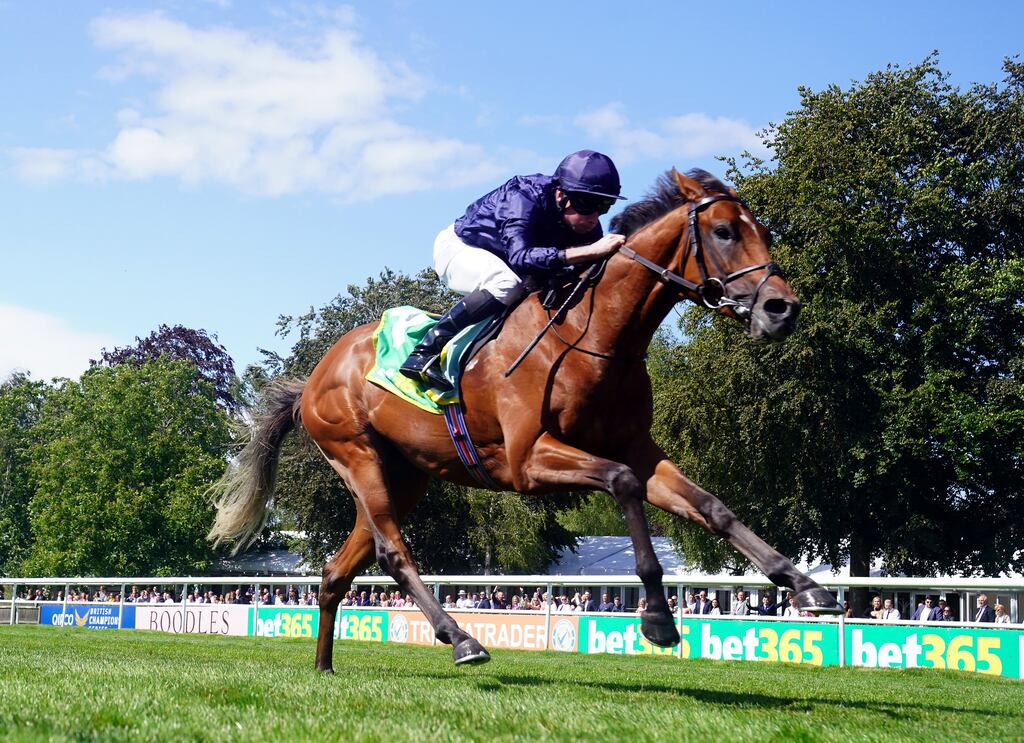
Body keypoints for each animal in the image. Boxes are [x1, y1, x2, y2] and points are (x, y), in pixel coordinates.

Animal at [209, 168, 842, 672]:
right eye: (724, 232)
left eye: (765, 232)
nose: (782, 308)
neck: (594, 336)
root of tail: (315, 375)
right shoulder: (527, 461)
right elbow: (622, 483)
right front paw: (658, 619)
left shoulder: (637, 446)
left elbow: (711, 506)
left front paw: (806, 585)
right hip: (356, 454)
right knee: (393, 552)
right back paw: (461, 638)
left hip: (406, 475)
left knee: (341, 568)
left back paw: (324, 667)